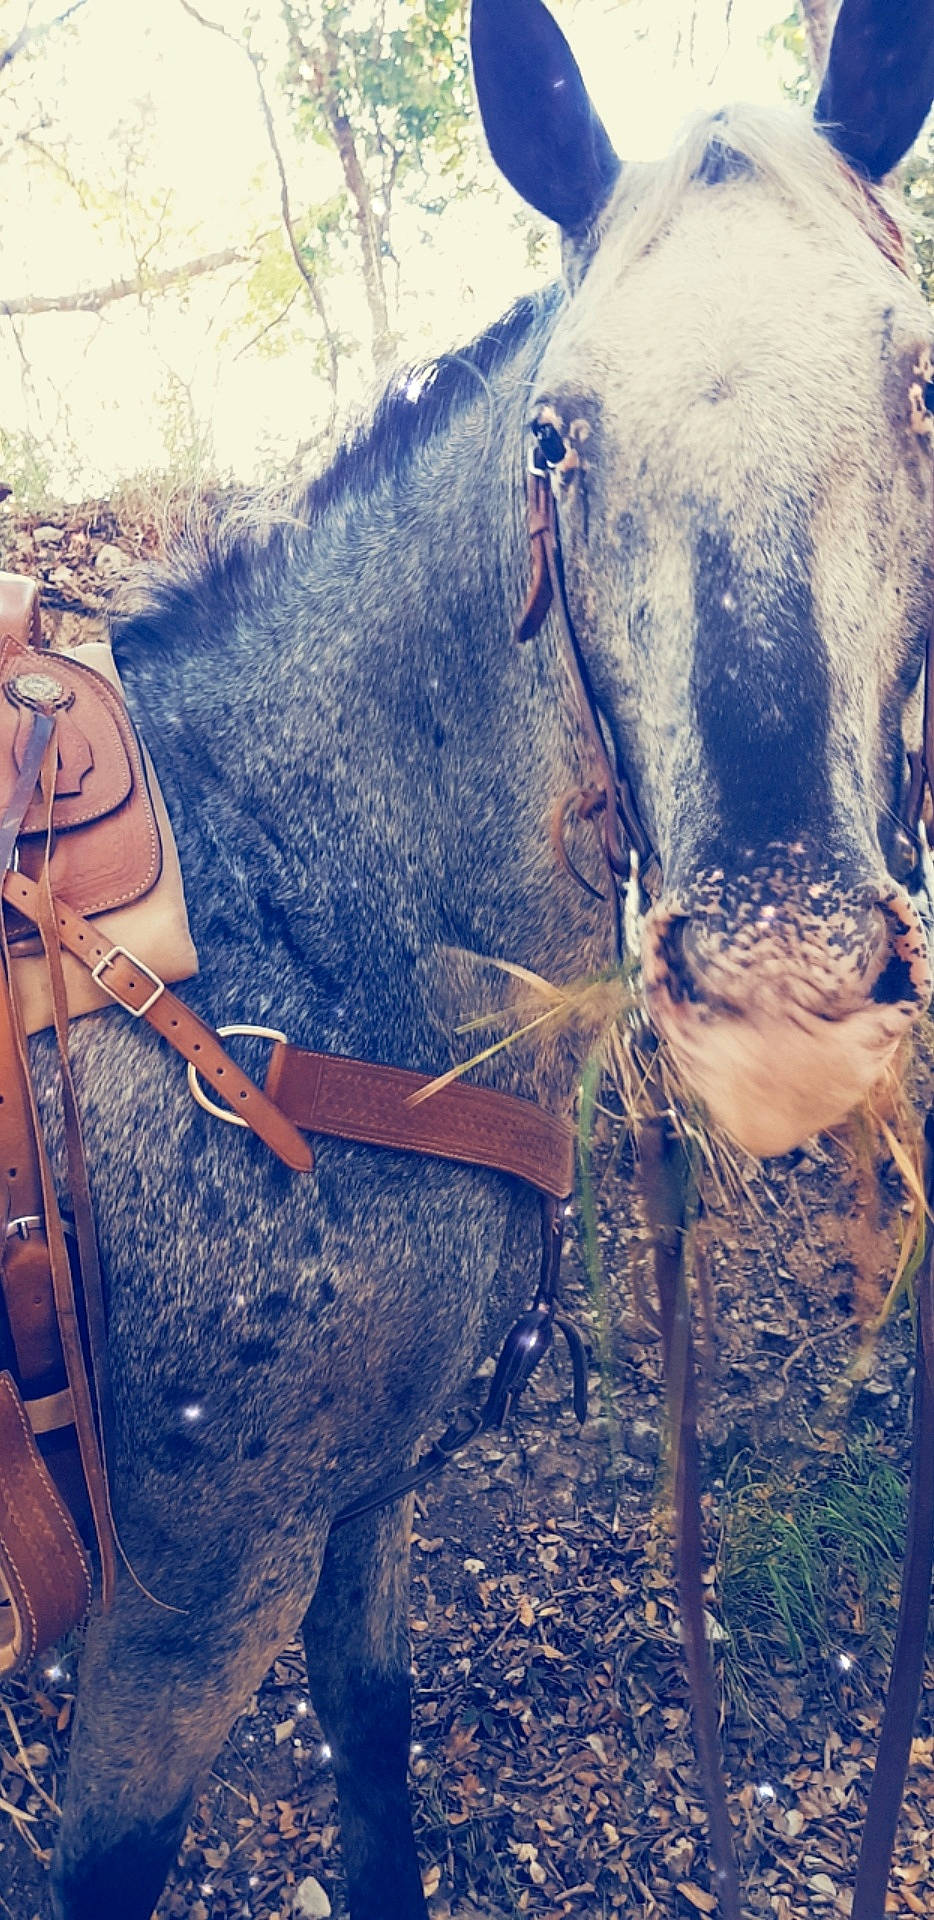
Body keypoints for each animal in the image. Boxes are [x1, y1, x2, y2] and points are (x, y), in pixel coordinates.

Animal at [41, 0, 934, 1914]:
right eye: (552, 436)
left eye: (917, 384)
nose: (779, 1001)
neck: (285, 934)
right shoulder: (183, 1614)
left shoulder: (359, 1508)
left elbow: (373, 1760)